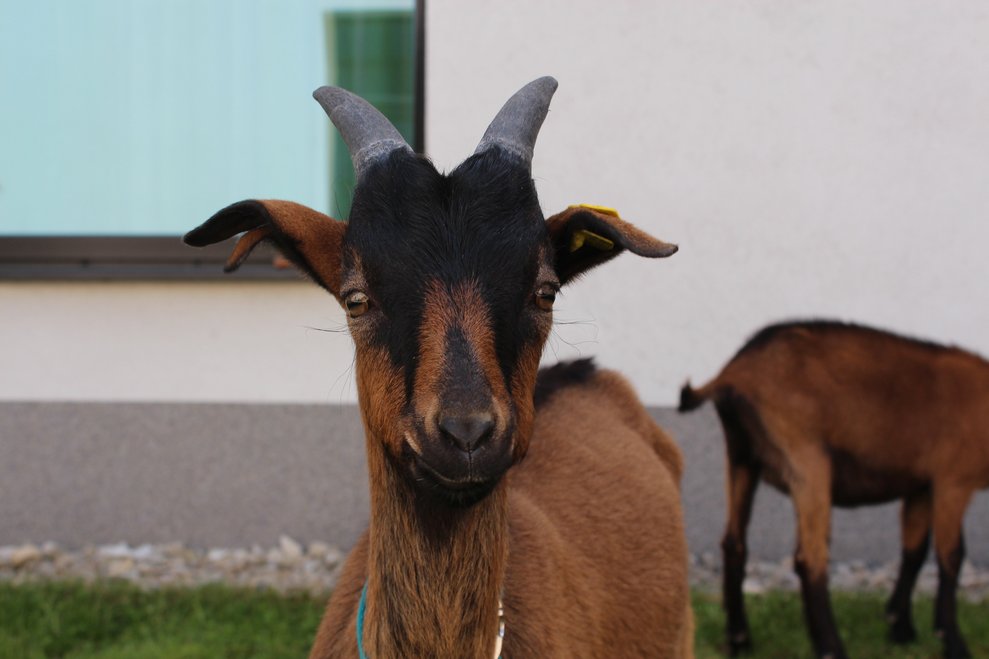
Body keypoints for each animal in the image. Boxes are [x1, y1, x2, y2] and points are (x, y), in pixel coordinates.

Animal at [679, 319, 989, 659]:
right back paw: (830, 647)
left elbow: (914, 551)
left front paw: (901, 628)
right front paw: (953, 642)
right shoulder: (953, 481)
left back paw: (739, 640)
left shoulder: (920, 485)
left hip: (742, 457)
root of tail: (735, 372)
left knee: (734, 543)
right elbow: (951, 556)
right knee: (810, 558)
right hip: (806, 459)